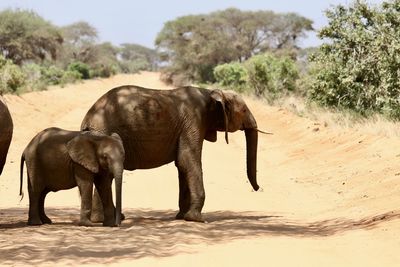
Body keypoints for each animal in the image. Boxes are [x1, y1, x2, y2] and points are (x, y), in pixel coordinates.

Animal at [81, 85, 262, 222]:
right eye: (244, 110)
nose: (258, 188)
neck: (210, 93)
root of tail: (88, 120)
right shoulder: (193, 120)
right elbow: (187, 160)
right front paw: (196, 219)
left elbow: (182, 165)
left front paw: (182, 216)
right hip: (104, 132)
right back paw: (105, 219)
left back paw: (105, 219)